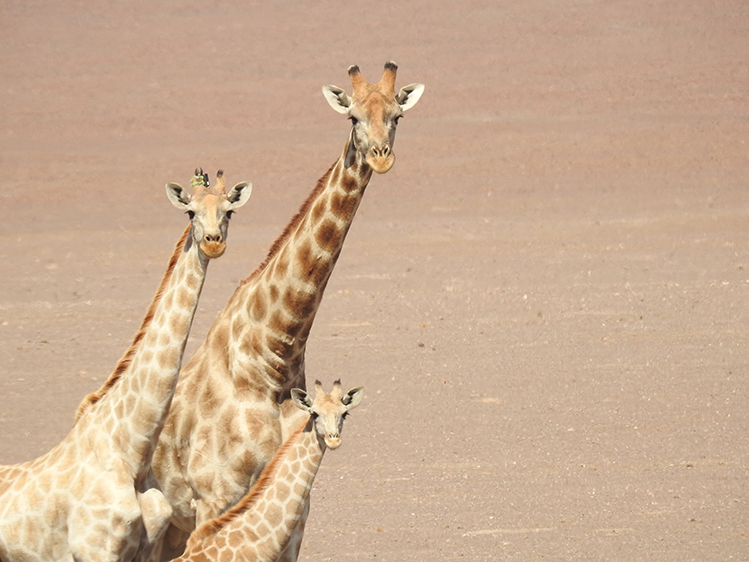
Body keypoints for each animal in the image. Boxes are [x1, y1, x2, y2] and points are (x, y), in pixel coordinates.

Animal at [0, 169, 252, 562]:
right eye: (190, 212)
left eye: (229, 212)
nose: (213, 243)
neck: (132, 451)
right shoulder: (96, 550)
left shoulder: (147, 547)